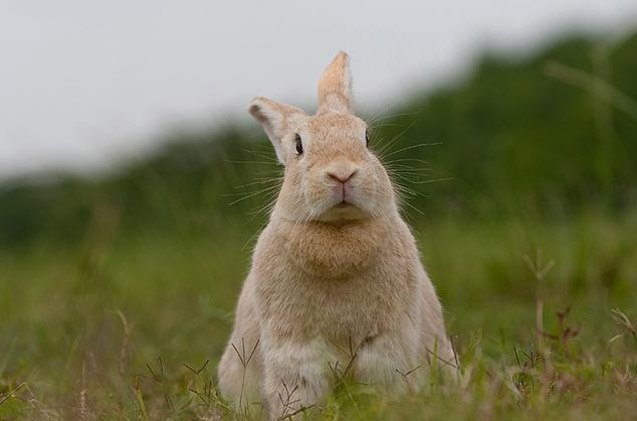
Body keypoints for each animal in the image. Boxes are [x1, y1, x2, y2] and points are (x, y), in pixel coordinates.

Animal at [216, 50, 454, 416]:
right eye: (299, 145)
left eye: (367, 138)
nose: (342, 173)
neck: (339, 234)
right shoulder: (295, 352)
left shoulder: (386, 345)